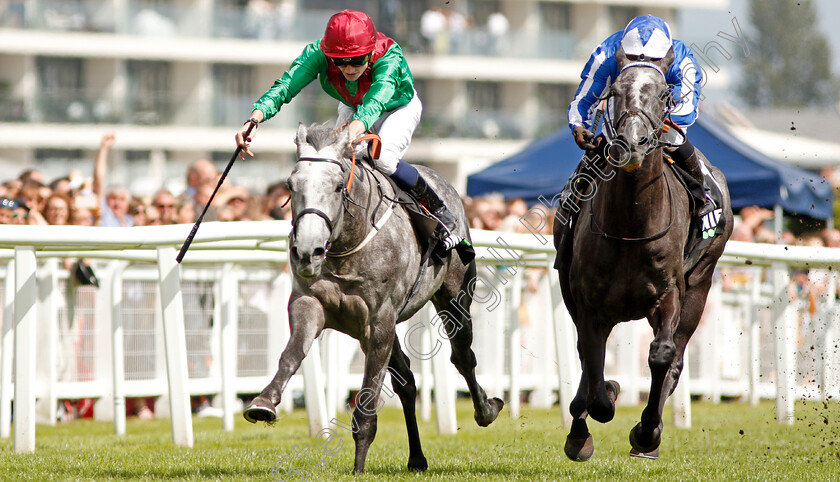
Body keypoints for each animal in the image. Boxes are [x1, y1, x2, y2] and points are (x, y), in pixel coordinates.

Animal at [244, 122, 506, 472]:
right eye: (290, 184)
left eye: (338, 187)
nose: (308, 252)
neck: (346, 245)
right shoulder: (310, 304)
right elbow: (292, 354)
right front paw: (263, 402)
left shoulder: (379, 319)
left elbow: (369, 394)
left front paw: (358, 466)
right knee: (406, 379)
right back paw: (417, 457)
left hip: (454, 298)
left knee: (463, 356)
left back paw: (486, 410)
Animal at [556, 50, 736, 462]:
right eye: (614, 92)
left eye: (663, 95)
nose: (632, 143)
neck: (631, 224)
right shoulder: (588, 302)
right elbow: (593, 365)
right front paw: (598, 407)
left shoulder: (669, 293)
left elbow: (662, 355)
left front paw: (646, 431)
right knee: (587, 357)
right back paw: (581, 425)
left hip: (701, 282)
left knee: (677, 357)